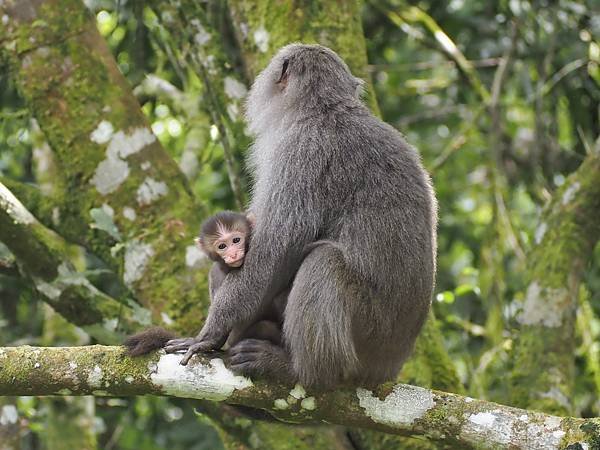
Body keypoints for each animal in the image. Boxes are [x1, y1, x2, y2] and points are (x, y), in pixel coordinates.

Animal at [164, 44, 436, 388]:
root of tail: (391, 365)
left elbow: (272, 252)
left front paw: (207, 336)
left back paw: (300, 370)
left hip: (369, 335)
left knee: (324, 262)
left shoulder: (299, 153)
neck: (325, 109)